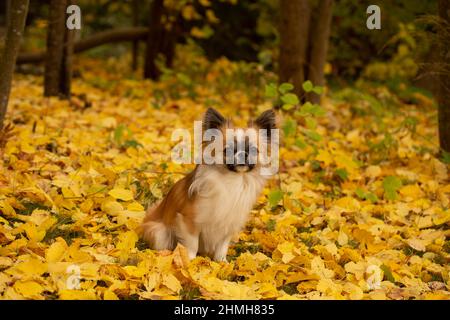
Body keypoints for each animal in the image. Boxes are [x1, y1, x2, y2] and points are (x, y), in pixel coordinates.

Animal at [140, 109, 278, 262]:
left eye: (254, 150)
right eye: (228, 150)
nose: (243, 154)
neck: (234, 180)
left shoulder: (228, 223)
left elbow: (222, 246)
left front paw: (222, 262)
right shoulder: (190, 221)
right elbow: (192, 244)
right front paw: (190, 261)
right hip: (159, 233)